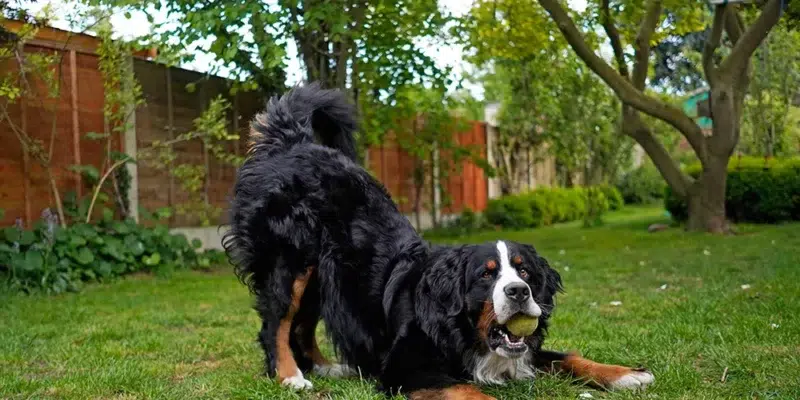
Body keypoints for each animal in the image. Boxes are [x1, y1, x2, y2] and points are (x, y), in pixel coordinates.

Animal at [222, 83, 652, 398]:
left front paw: (626, 374)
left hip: (326, 277)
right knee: (277, 323)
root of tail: (292, 143)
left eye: (525, 272)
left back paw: (330, 367)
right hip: (290, 263)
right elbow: (470, 391)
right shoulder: (405, 367)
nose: (518, 292)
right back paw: (291, 376)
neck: (460, 327)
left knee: (302, 326)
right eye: (486, 275)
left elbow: (568, 357)